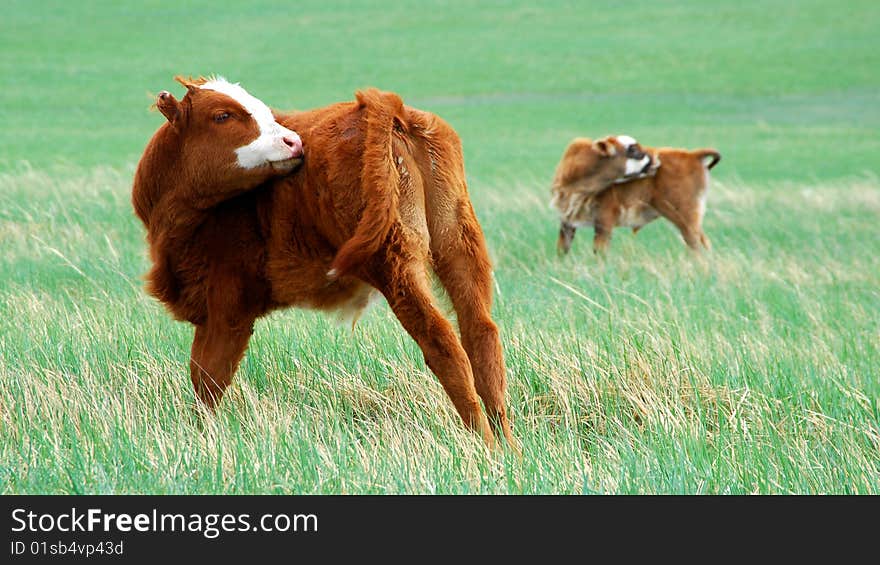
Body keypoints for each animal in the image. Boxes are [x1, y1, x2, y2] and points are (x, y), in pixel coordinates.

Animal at [133, 77, 512, 450]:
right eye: (222, 115)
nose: (293, 141)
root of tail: (391, 107)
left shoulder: (228, 305)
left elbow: (208, 378)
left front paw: (202, 440)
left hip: (394, 259)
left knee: (442, 342)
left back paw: (486, 446)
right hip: (458, 241)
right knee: (481, 334)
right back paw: (508, 447)